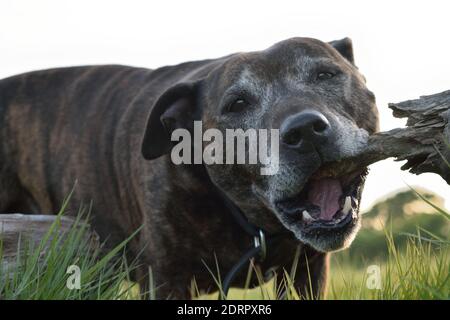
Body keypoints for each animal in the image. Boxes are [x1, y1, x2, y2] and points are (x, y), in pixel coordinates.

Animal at [0, 38, 378, 300]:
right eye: (237, 104)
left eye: (325, 74)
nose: (304, 130)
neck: (249, 219)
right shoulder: (166, 279)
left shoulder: (307, 272)